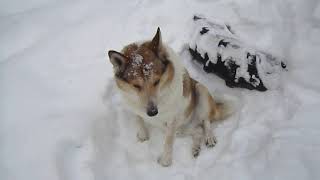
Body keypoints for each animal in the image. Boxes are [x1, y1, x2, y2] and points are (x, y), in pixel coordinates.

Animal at [107, 28, 230, 167]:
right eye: (136, 86)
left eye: (156, 81)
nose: (152, 112)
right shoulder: (133, 105)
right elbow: (138, 119)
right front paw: (143, 136)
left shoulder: (172, 120)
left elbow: (168, 142)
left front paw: (165, 162)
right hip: (182, 129)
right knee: (198, 130)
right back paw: (195, 148)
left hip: (200, 90)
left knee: (206, 121)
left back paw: (209, 138)